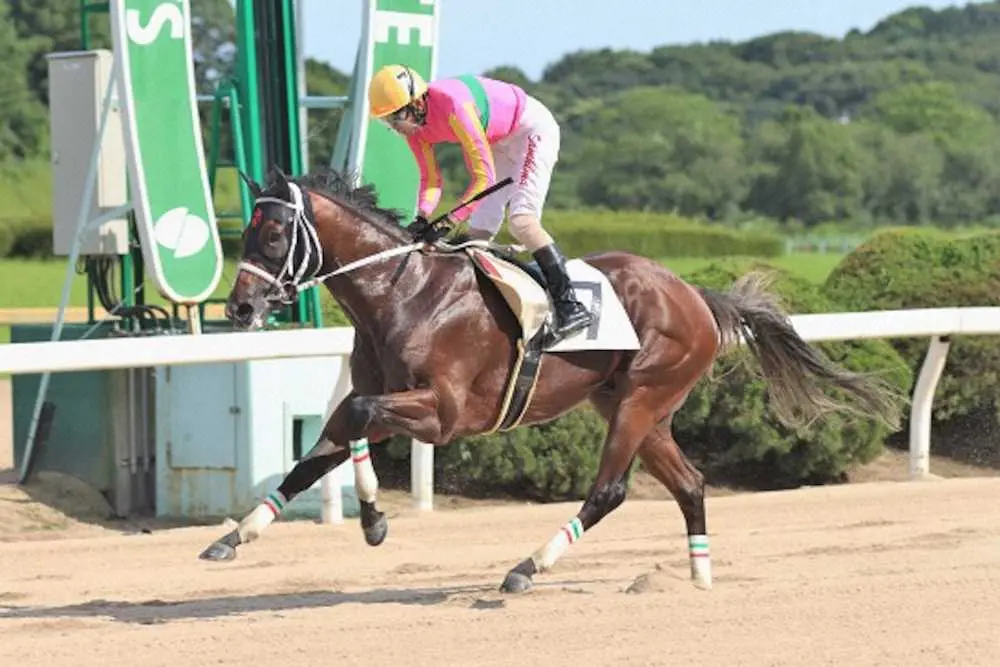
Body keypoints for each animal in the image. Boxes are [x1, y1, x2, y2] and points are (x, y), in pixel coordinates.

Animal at [198, 165, 904, 593]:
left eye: (273, 234)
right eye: (244, 232)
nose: (238, 309)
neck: (405, 292)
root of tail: (697, 296)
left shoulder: (446, 413)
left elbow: (362, 415)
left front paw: (373, 519)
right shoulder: (379, 390)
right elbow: (325, 442)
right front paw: (234, 536)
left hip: (643, 397)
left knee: (610, 490)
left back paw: (525, 570)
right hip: (631, 407)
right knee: (691, 483)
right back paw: (699, 579)